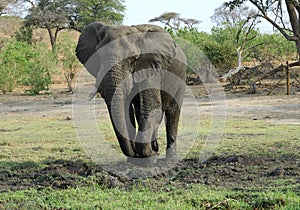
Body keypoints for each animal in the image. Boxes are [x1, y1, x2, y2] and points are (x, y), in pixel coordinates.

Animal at [75, 22, 185, 161]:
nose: (133, 152)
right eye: (98, 58)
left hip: (181, 76)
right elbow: (129, 111)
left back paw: (169, 158)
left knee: (172, 111)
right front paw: (139, 158)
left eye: (132, 59)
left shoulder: (151, 67)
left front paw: (149, 157)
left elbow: (152, 108)